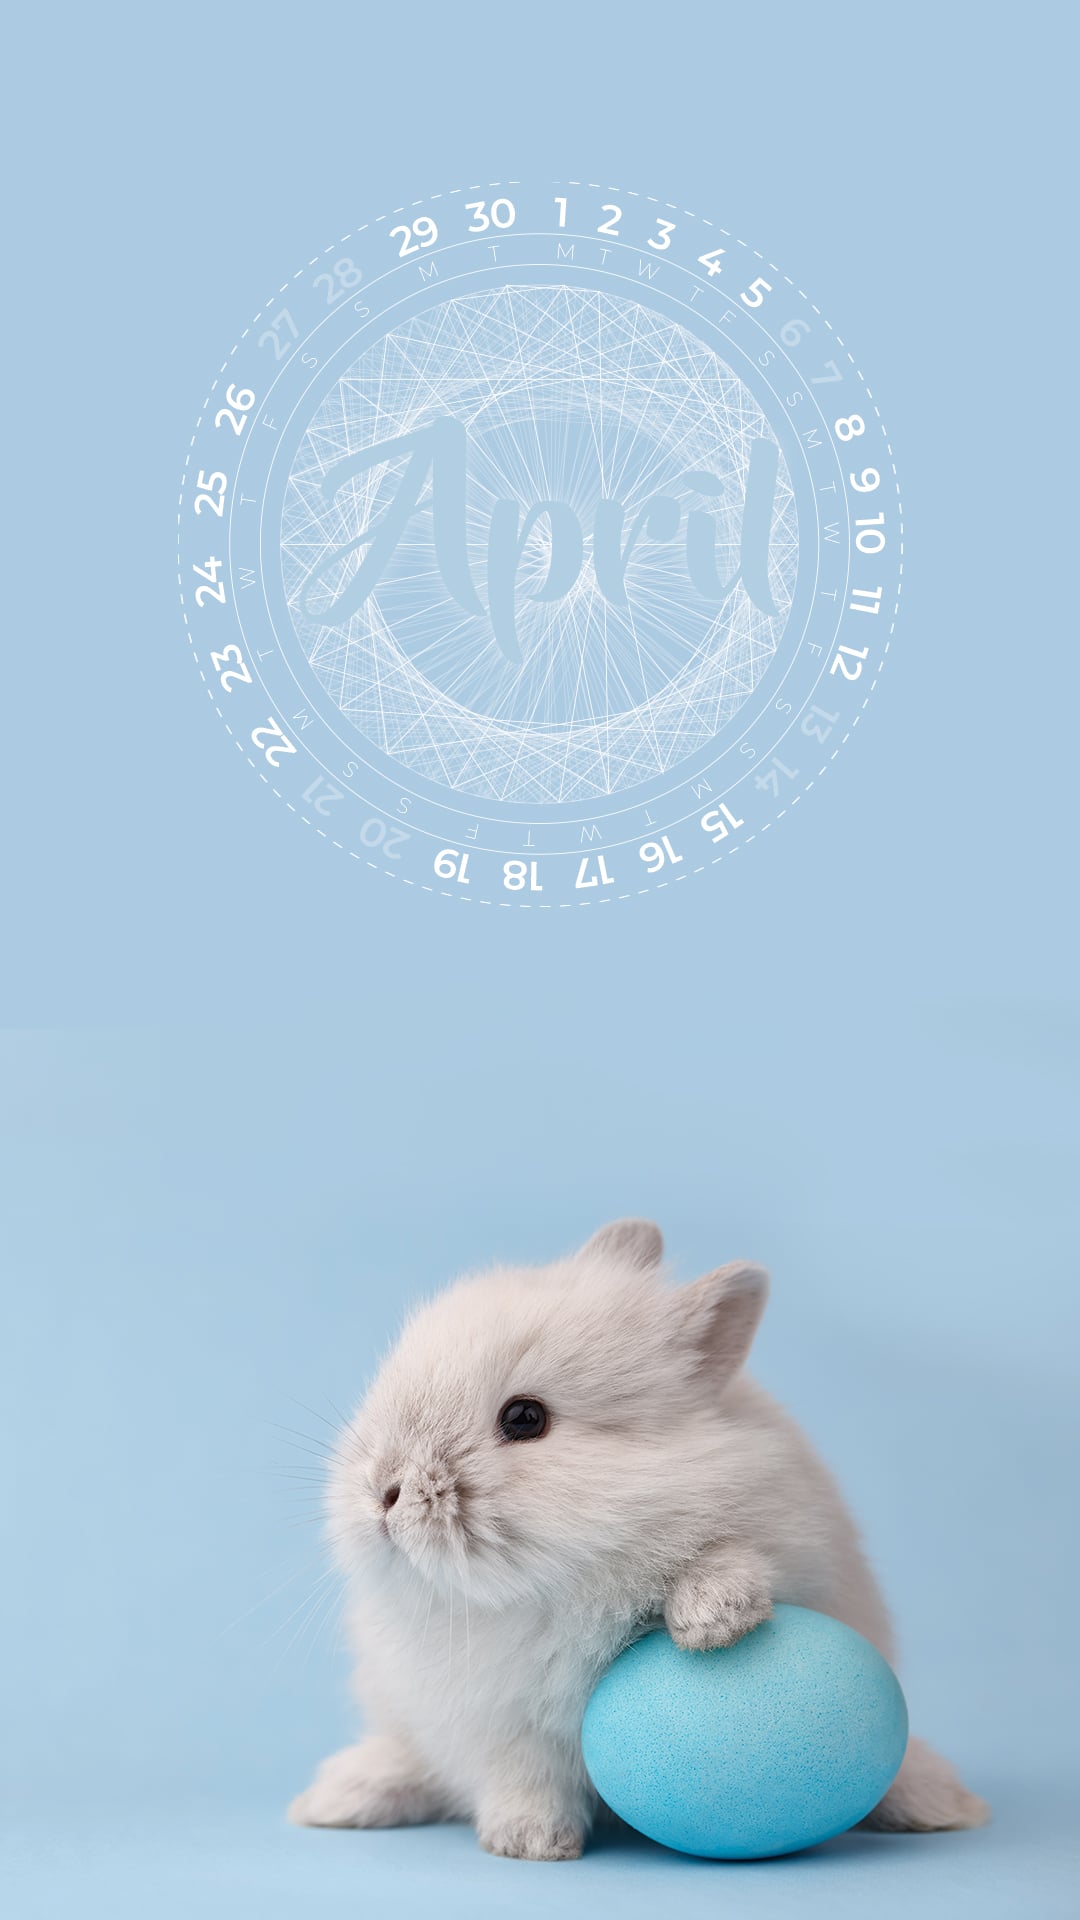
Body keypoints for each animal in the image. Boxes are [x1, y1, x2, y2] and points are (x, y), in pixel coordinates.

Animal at [289, 1220, 987, 1859]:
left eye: (525, 1417)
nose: (383, 1492)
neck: (560, 1583)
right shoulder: (498, 1724)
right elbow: (523, 1779)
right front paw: (531, 1841)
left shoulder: (793, 1551)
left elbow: (729, 1556)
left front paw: (712, 1622)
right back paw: (333, 1800)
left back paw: (944, 1807)